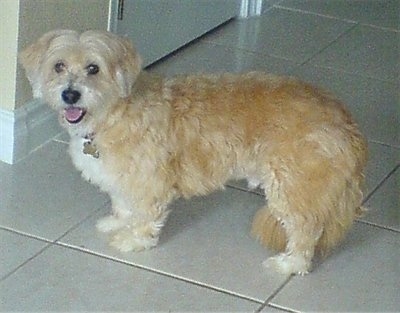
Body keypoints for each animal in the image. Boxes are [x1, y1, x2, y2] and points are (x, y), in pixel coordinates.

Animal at [20, 29, 368, 272]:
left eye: (94, 68)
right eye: (59, 66)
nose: (70, 94)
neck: (113, 110)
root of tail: (345, 119)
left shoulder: (148, 182)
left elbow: (144, 216)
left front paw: (133, 240)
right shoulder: (121, 178)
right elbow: (122, 204)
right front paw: (118, 222)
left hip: (292, 186)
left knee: (306, 230)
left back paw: (290, 264)